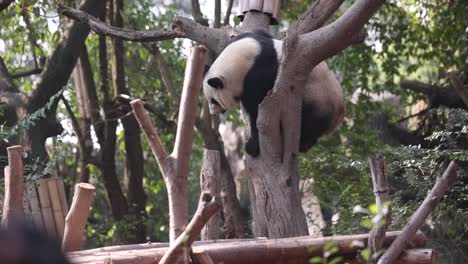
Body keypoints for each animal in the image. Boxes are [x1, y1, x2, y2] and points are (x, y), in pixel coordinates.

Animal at [203, 32, 346, 158]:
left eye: (214, 101)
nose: (212, 112)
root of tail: (339, 114)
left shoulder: (259, 75)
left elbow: (256, 110)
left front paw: (252, 146)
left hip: (317, 98)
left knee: (310, 122)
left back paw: (303, 143)